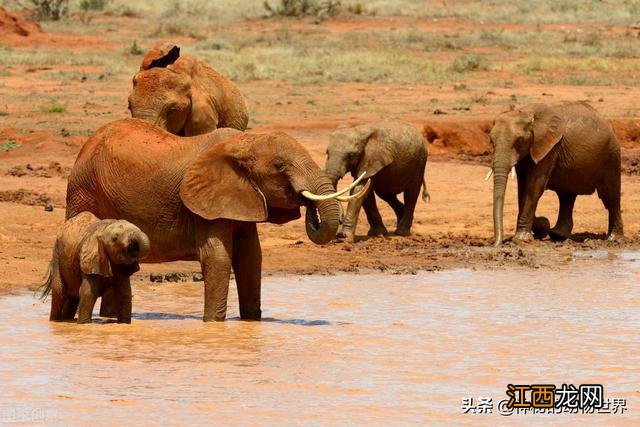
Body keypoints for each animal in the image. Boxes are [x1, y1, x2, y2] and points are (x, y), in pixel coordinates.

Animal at [67, 118, 364, 322]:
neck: (245, 142)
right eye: (280, 166)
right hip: (83, 191)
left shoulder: (242, 197)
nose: (307, 204)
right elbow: (218, 258)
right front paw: (213, 324)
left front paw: (251, 322)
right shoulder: (206, 203)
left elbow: (250, 258)